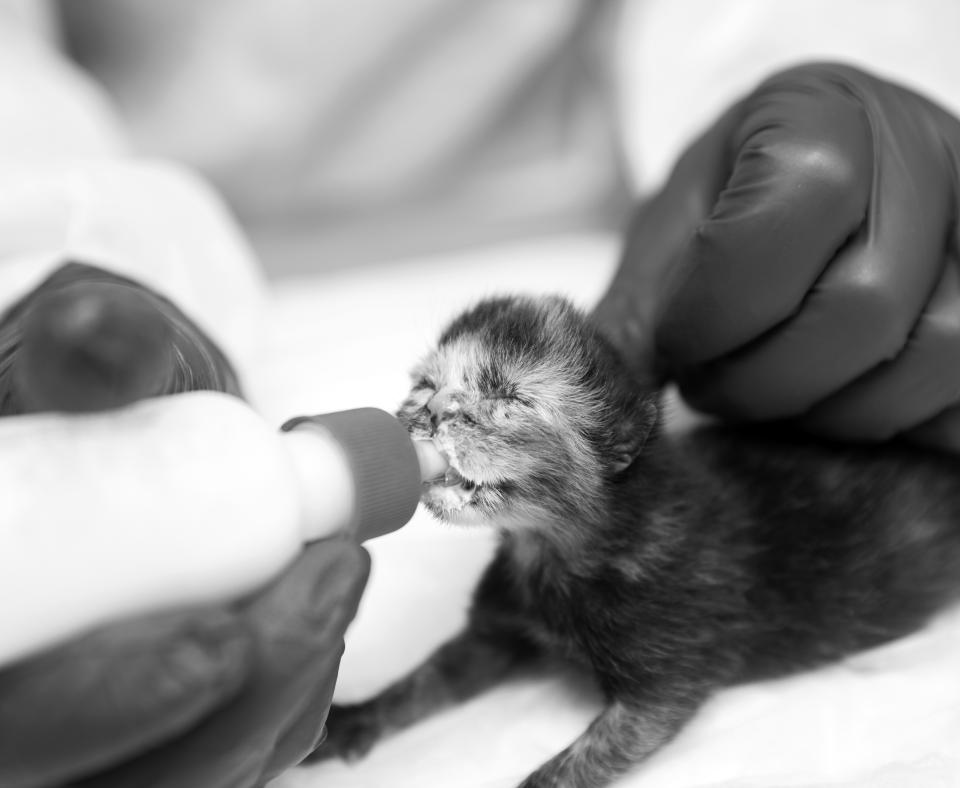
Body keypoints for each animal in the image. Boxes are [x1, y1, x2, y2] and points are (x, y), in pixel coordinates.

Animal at [308, 296, 960, 788]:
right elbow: (422, 683)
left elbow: (575, 764)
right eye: (424, 386)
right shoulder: (492, 636)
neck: (564, 548)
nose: (432, 413)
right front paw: (356, 719)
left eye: (509, 399)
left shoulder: (664, 685)